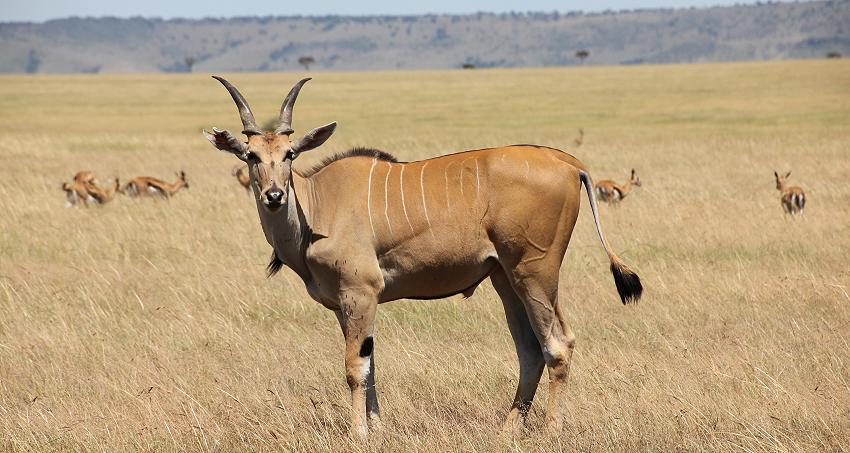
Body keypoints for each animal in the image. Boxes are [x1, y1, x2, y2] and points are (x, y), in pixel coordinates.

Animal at [204, 77, 644, 438]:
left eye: (290, 154)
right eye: (250, 156)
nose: (274, 195)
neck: (317, 204)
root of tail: (569, 163)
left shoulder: (360, 294)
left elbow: (355, 369)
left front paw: (359, 435)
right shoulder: (346, 305)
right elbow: (371, 365)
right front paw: (378, 431)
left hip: (535, 274)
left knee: (558, 345)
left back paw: (550, 432)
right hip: (506, 280)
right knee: (530, 351)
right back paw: (506, 432)